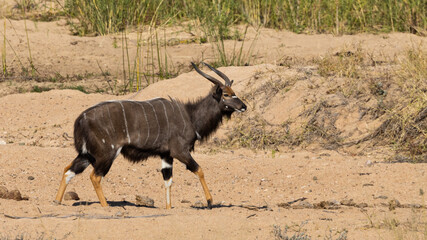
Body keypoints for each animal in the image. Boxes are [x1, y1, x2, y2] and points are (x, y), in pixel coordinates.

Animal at [54, 62, 247, 208]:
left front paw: (169, 208)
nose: (244, 106)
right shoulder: (179, 151)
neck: (191, 116)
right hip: (106, 154)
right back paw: (106, 206)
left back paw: (57, 202)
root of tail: (81, 119)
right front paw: (209, 201)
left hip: (88, 154)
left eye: (234, 93)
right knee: (94, 176)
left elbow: (168, 180)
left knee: (68, 170)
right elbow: (199, 170)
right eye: (227, 94)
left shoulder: (166, 155)